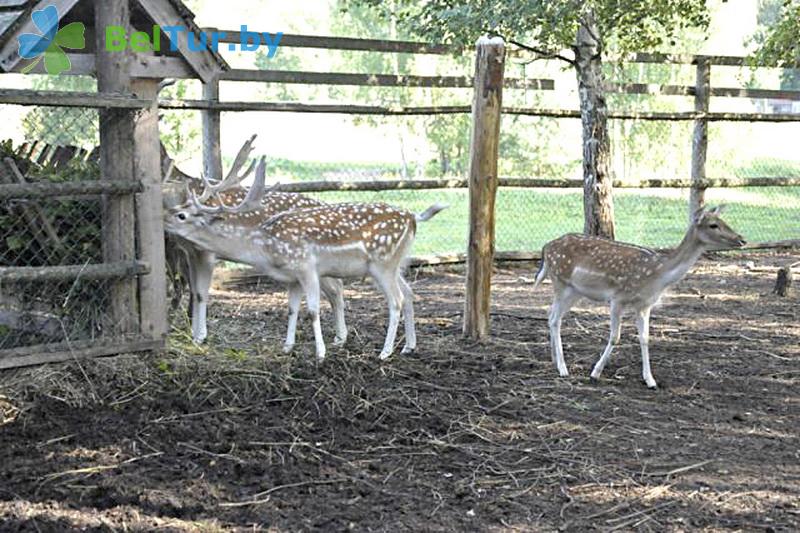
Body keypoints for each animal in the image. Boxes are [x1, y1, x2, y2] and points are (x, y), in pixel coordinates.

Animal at [161, 136, 346, 344]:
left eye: (181, 215)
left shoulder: (206, 253)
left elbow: (201, 293)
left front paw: (200, 337)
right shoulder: (190, 252)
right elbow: (194, 290)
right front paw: (194, 334)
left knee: (337, 287)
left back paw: (340, 337)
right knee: (335, 287)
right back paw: (339, 337)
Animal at [165, 156, 446, 360]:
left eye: (182, 215)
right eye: (178, 209)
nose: (164, 216)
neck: (265, 248)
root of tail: (413, 217)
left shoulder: (306, 267)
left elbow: (312, 310)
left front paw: (320, 353)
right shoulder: (292, 277)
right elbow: (291, 309)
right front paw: (287, 347)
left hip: (382, 264)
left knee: (396, 300)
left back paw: (385, 352)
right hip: (397, 263)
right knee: (409, 293)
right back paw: (408, 346)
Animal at [536, 206, 748, 388]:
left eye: (724, 220)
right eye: (713, 225)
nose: (742, 239)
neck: (657, 276)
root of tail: (546, 248)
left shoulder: (645, 305)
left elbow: (645, 338)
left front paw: (650, 380)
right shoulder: (617, 298)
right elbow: (615, 337)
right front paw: (595, 373)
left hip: (575, 291)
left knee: (550, 315)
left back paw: (554, 359)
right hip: (562, 283)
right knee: (555, 319)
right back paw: (563, 368)